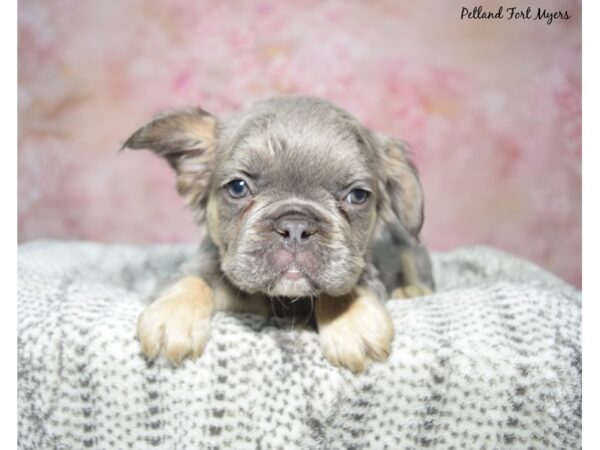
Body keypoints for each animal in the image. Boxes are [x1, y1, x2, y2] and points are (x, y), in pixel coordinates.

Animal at [123, 96, 432, 374]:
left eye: (357, 196)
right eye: (237, 188)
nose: (295, 226)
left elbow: (343, 287)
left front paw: (351, 320)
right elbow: (192, 280)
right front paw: (173, 314)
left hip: (412, 250)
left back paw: (412, 291)